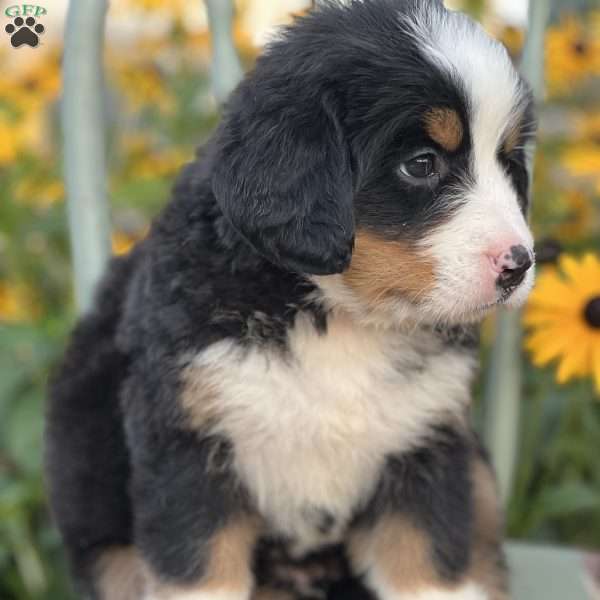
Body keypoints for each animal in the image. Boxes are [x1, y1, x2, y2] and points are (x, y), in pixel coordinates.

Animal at [45, 1, 536, 600]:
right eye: (421, 164)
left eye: (508, 162)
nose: (519, 264)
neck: (337, 315)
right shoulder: (187, 447)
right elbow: (200, 567)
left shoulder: (425, 443)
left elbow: (428, 563)